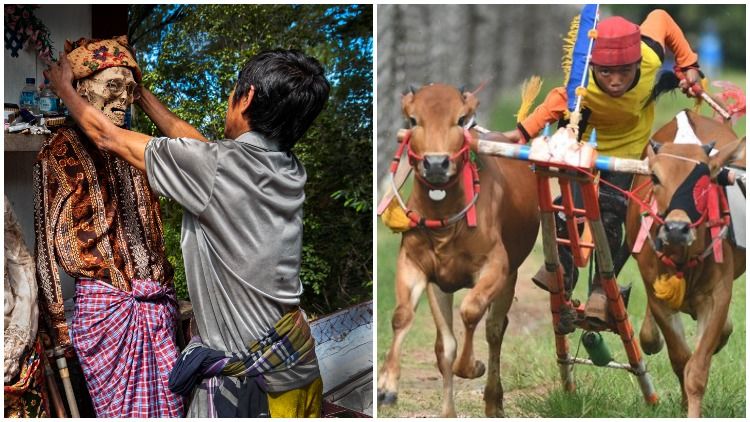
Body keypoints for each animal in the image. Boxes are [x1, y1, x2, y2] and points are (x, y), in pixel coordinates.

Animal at [376, 84, 540, 418]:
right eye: (413, 120)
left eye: (461, 119)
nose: (436, 164)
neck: (446, 226)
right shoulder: (420, 268)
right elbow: (416, 326)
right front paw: (386, 386)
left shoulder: (496, 266)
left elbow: (472, 312)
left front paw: (473, 366)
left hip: (511, 276)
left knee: (494, 329)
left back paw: (493, 401)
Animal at [628, 110, 748, 418]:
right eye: (655, 178)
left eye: (705, 180)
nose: (676, 228)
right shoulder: (657, 294)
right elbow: (681, 359)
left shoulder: (718, 296)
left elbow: (697, 368)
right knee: (650, 338)